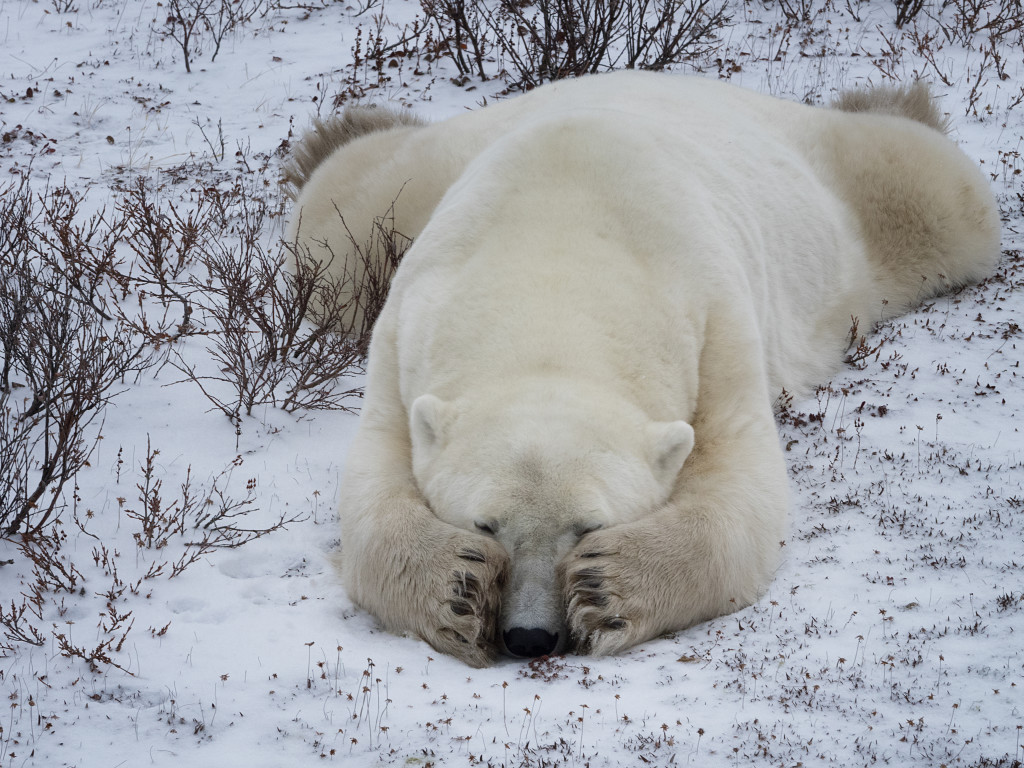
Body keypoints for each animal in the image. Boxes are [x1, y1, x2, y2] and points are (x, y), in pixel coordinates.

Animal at [284, 71, 1000, 667]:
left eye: (589, 527)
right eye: (484, 525)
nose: (530, 637)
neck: (554, 253)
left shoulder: (715, 323)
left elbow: (741, 482)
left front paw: (607, 588)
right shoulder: (406, 328)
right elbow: (373, 480)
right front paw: (459, 588)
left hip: (850, 188)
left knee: (939, 189)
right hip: (412, 193)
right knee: (340, 219)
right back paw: (337, 132)